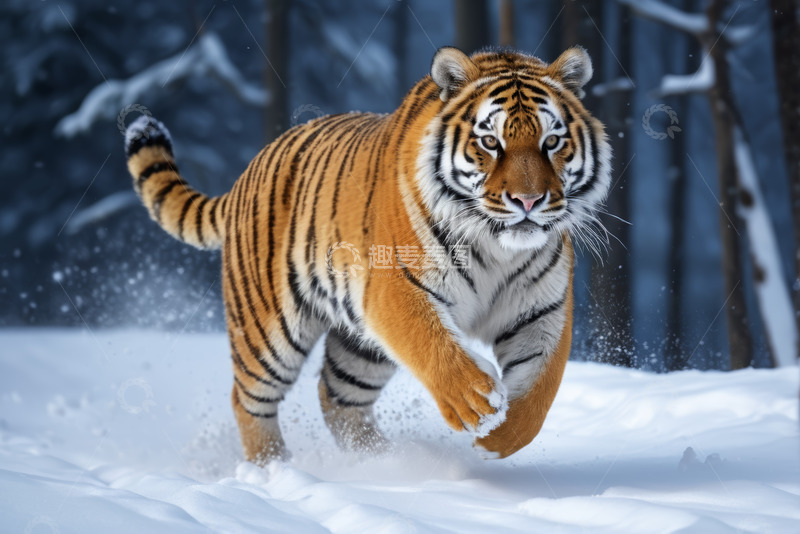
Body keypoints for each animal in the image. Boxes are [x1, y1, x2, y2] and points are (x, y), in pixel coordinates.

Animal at [124, 45, 611, 462]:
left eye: (552, 142)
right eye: (490, 143)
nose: (528, 201)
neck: (497, 248)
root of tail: (249, 170)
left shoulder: (541, 310)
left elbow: (541, 388)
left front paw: (498, 438)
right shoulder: (396, 287)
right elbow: (434, 345)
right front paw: (476, 403)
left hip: (360, 347)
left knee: (338, 397)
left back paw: (380, 461)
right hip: (267, 331)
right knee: (249, 398)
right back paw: (274, 470)